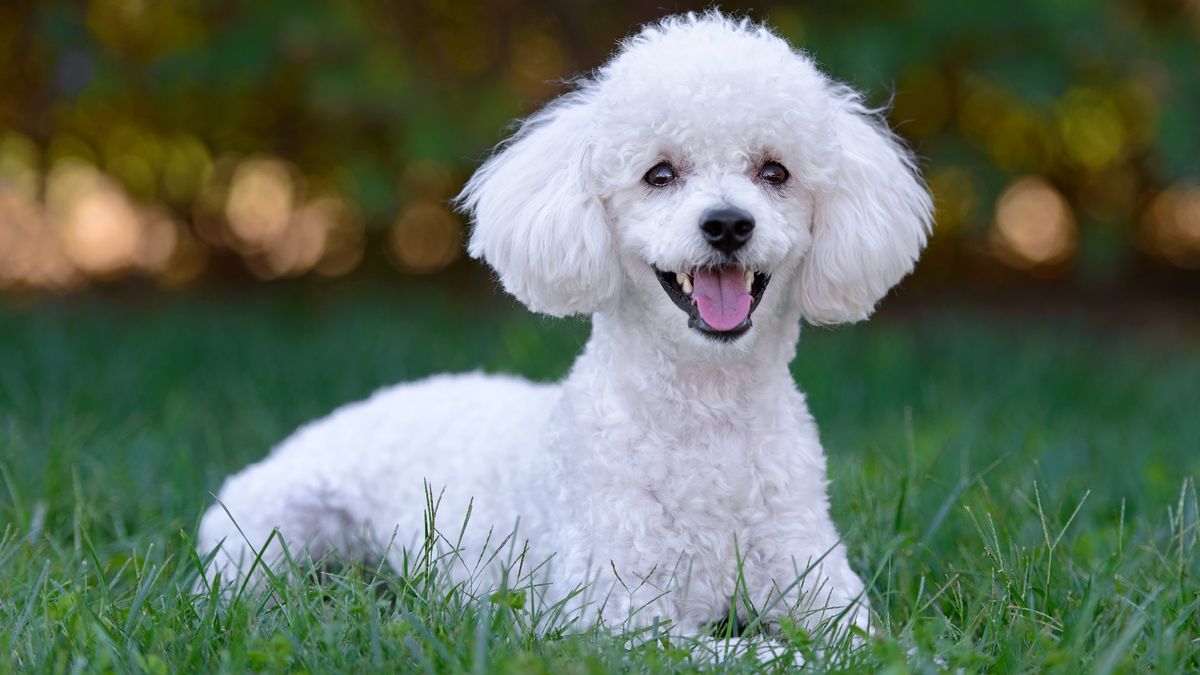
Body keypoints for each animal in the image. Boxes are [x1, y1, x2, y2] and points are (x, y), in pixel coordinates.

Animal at [196, 11, 931, 634]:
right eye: (660, 173)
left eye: (774, 170)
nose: (727, 223)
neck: (707, 418)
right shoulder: (622, 620)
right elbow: (754, 654)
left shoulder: (821, 588)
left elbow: (859, 644)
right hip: (268, 531)